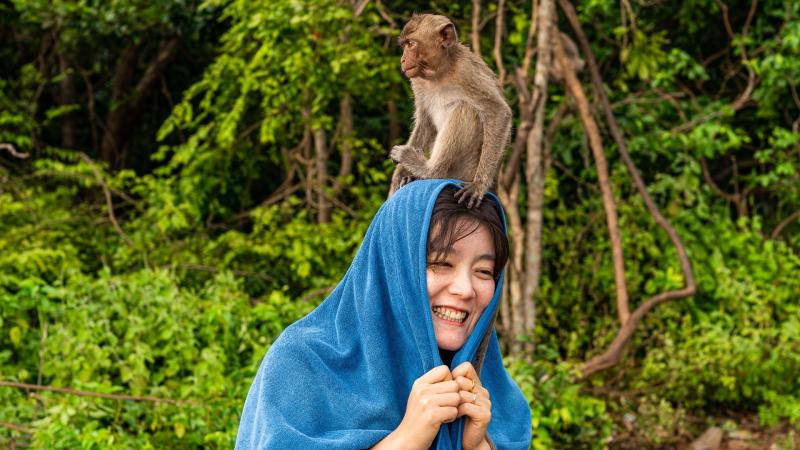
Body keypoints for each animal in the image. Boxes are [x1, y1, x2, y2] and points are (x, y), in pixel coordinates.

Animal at [388, 14, 512, 209]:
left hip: (465, 169)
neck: (439, 71)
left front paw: (478, 185)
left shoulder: (467, 71)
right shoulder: (417, 81)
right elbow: (426, 122)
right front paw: (400, 174)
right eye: (404, 45)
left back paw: (430, 170)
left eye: (411, 44)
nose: (403, 59)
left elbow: (498, 112)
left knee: (465, 108)